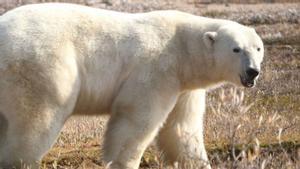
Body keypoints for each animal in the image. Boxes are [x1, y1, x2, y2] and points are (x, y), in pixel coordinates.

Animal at [0, 2, 262, 169]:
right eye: (236, 49)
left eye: (258, 48)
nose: (253, 71)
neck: (183, 48)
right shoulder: (157, 69)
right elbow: (137, 119)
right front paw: (123, 162)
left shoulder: (185, 86)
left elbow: (181, 128)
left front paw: (197, 162)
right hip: (41, 66)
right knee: (36, 120)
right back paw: (18, 160)